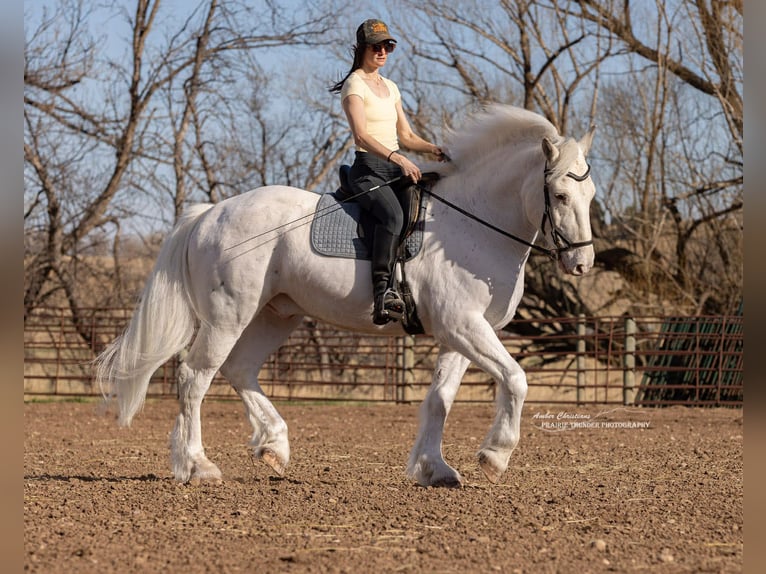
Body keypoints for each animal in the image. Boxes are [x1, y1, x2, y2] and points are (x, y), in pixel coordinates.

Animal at [95, 104, 597, 488]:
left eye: (590, 193)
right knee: (195, 377)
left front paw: (435, 470)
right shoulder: (463, 327)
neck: (472, 224)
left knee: (239, 369)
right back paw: (198, 466)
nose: (582, 263)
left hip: (277, 315)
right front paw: (494, 455)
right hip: (227, 316)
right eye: (559, 194)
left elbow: (440, 399)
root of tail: (209, 213)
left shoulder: (462, 333)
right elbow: (516, 379)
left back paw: (273, 446)